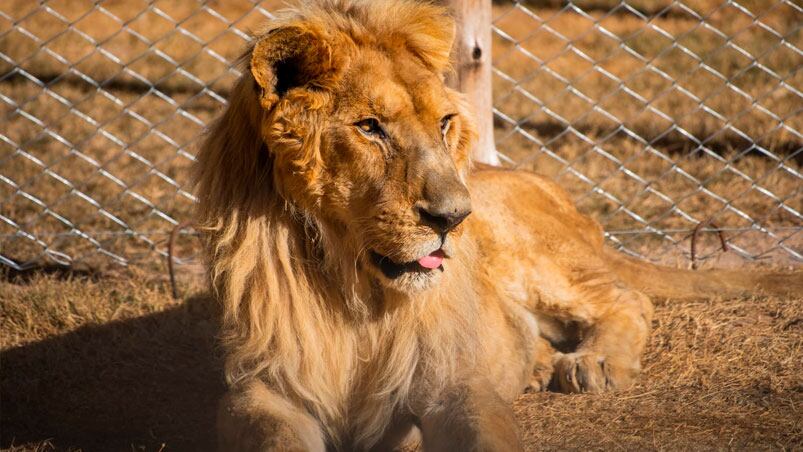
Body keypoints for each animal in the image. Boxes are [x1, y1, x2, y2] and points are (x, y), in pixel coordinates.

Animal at [196, 1, 803, 450]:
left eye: (444, 122)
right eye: (370, 127)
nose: (454, 218)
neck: (350, 292)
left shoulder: (450, 379)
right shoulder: (260, 391)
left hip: (536, 254)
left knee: (627, 296)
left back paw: (594, 362)